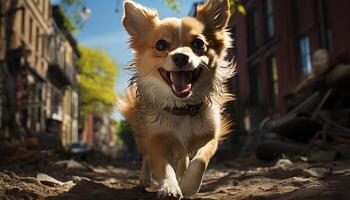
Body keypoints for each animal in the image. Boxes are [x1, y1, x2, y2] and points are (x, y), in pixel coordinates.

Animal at [117, 0, 235, 198]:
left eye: (198, 43)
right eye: (161, 45)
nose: (180, 57)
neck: (182, 107)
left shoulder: (209, 137)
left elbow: (200, 160)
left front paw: (187, 185)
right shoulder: (156, 139)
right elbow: (163, 166)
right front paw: (169, 187)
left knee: (183, 159)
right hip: (142, 135)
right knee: (146, 156)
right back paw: (145, 179)